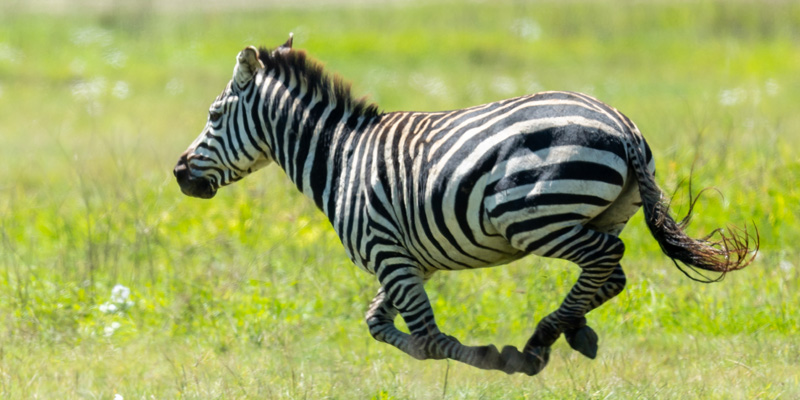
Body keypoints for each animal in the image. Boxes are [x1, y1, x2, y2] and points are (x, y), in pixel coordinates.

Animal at [175, 35, 756, 376]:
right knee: (610, 274)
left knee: (606, 262)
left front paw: (493, 358)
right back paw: (571, 330)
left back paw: (540, 339)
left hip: (536, 219)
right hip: (600, 213)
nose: (179, 174)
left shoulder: (387, 252)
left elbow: (429, 338)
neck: (341, 156)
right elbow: (377, 323)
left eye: (213, 115)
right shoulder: (410, 260)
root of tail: (622, 125)